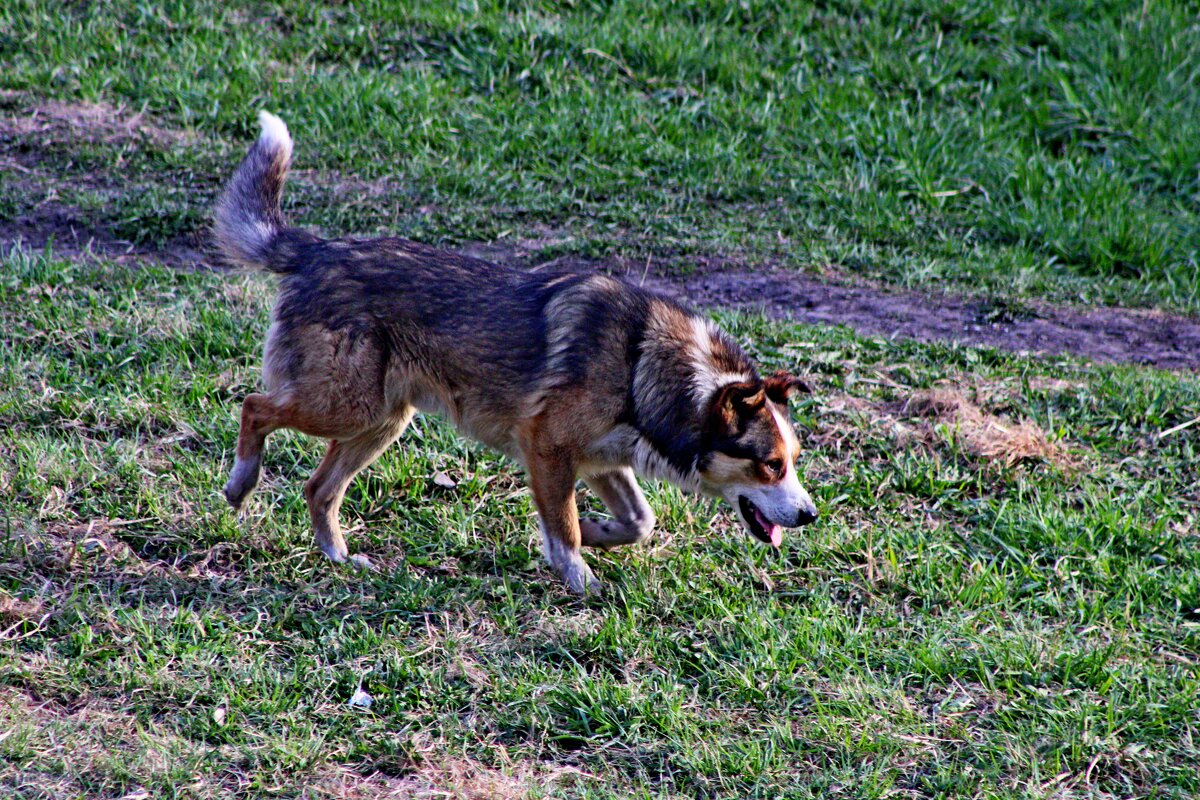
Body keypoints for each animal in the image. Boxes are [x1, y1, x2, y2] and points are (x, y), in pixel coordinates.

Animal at [213, 110, 816, 594]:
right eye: (770, 464)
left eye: (793, 460)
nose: (810, 515)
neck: (643, 366)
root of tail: (317, 250)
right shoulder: (547, 448)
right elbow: (564, 528)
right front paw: (580, 577)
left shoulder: (600, 461)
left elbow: (638, 521)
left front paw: (598, 533)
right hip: (345, 405)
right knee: (254, 406)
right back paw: (241, 483)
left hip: (382, 420)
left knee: (318, 488)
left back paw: (338, 557)